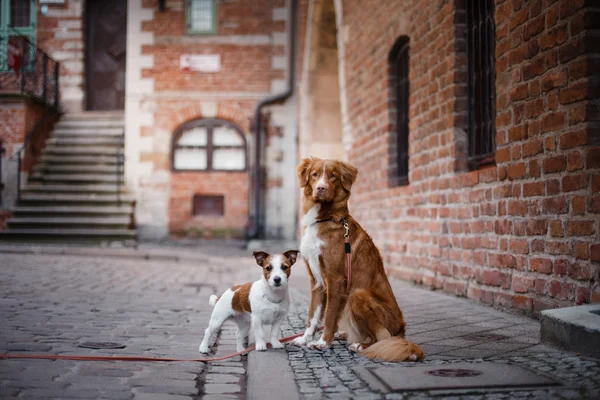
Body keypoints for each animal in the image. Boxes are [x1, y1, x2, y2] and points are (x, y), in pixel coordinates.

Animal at [290, 157, 422, 362]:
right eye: (315, 174)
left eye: (333, 176)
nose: (321, 188)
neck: (325, 219)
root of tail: (402, 332)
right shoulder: (316, 280)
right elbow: (312, 315)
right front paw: (304, 339)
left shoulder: (335, 279)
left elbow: (328, 316)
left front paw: (322, 342)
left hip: (358, 295)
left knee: (381, 338)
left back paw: (360, 345)